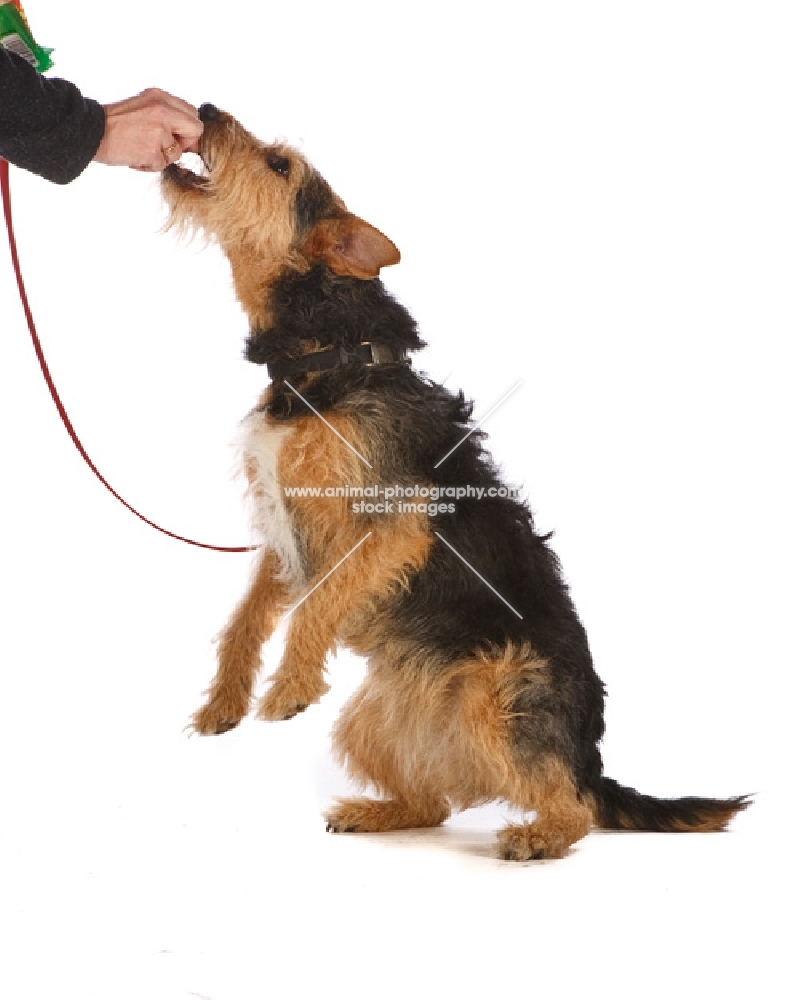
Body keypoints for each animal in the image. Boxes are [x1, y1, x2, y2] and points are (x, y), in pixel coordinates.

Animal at [162, 107, 752, 860]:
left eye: (278, 164)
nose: (205, 110)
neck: (326, 355)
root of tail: (585, 756)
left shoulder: (389, 527)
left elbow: (317, 606)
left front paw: (289, 686)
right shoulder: (284, 537)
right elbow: (246, 620)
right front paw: (224, 702)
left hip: (495, 694)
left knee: (573, 806)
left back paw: (537, 836)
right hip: (371, 721)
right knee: (433, 801)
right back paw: (376, 811)